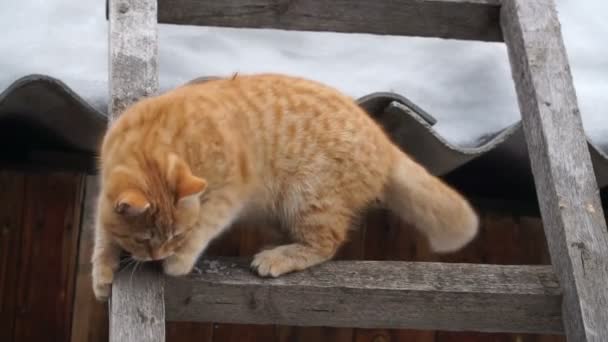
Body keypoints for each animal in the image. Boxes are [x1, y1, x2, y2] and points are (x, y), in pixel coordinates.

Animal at [91, 73, 480, 300]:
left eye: (174, 236)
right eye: (145, 240)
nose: (158, 255)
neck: (155, 137)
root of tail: (384, 143)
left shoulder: (230, 192)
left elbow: (204, 225)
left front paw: (179, 260)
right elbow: (102, 237)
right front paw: (102, 273)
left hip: (308, 195)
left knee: (326, 243)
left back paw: (278, 257)